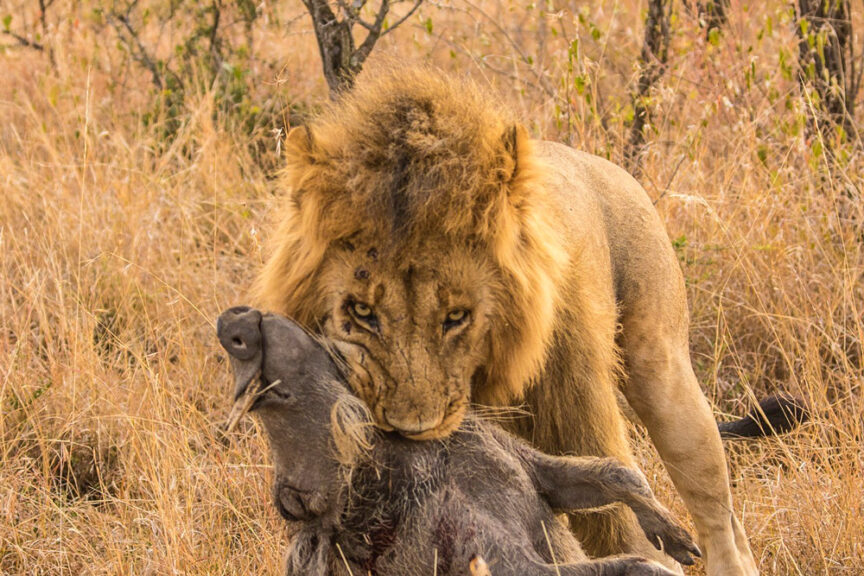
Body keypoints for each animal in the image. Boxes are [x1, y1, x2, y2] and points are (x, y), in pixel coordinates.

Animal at [256, 67, 759, 575]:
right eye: (361, 312)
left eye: (456, 316)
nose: (411, 431)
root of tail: (607, 165)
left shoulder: (576, 419)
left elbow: (620, 519)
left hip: (663, 373)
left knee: (719, 521)